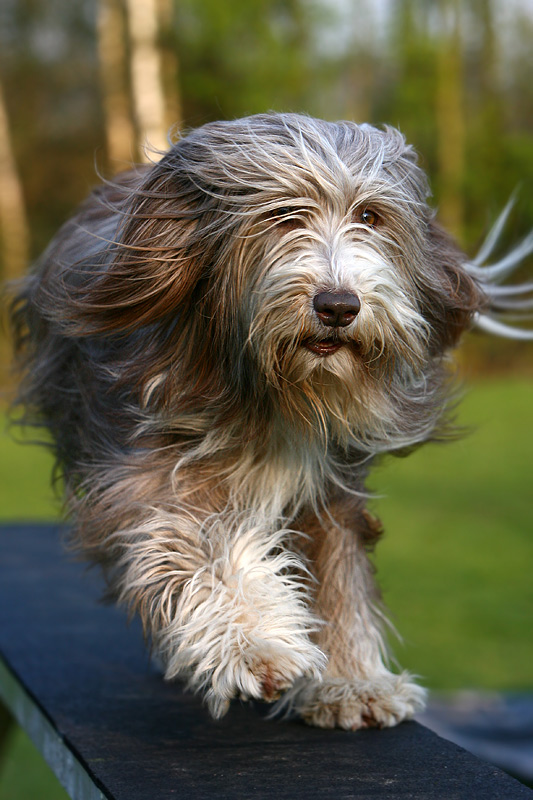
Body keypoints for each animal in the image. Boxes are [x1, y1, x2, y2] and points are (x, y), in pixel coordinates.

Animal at [9, 114, 532, 732]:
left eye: (370, 217)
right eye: (283, 215)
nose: (338, 305)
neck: (274, 395)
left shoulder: (329, 486)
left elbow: (338, 573)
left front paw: (350, 682)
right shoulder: (145, 475)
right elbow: (198, 551)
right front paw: (253, 644)